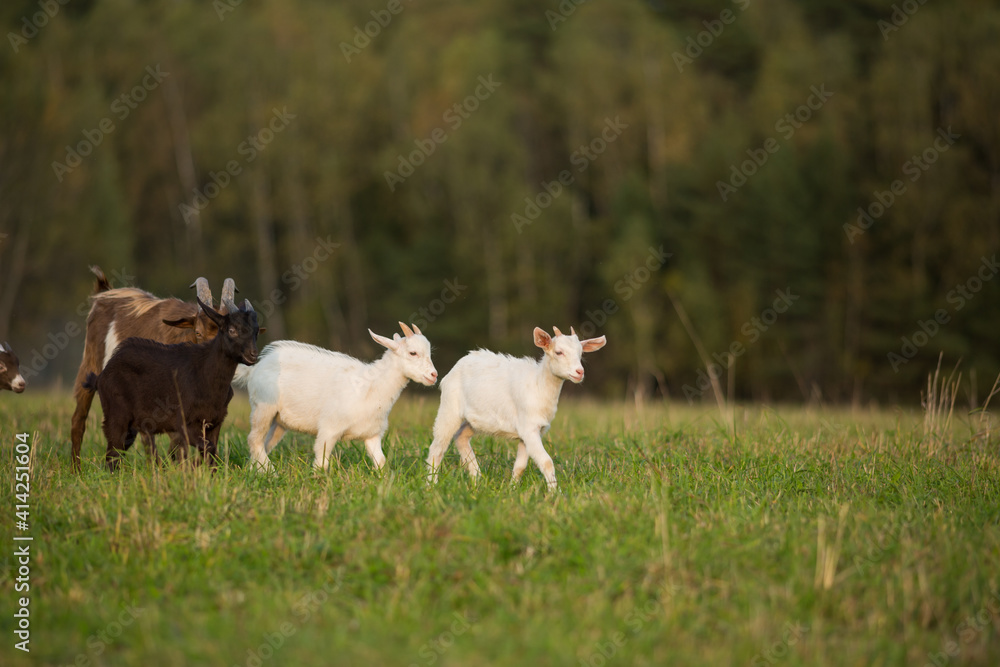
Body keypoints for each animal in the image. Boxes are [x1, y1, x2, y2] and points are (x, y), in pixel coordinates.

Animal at [84, 297, 259, 472]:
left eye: (256, 331)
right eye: (232, 330)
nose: (253, 355)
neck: (205, 375)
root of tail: (101, 377)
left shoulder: (215, 423)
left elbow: (211, 452)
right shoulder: (184, 423)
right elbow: (206, 447)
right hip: (116, 415)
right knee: (112, 453)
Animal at [232, 322, 437, 472]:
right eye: (413, 352)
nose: (434, 375)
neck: (371, 386)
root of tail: (254, 369)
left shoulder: (372, 435)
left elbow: (381, 462)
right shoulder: (329, 429)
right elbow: (322, 461)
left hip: (279, 421)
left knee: (263, 444)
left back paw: (255, 470)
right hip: (263, 408)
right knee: (254, 439)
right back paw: (270, 472)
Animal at [426, 326, 606, 489]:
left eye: (581, 354)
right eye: (558, 352)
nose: (579, 372)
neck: (538, 385)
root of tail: (458, 364)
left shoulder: (530, 432)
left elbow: (520, 467)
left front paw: (512, 490)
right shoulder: (529, 428)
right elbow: (547, 462)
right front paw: (555, 494)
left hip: (475, 419)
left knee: (461, 436)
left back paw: (477, 480)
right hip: (449, 407)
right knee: (437, 447)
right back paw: (431, 485)